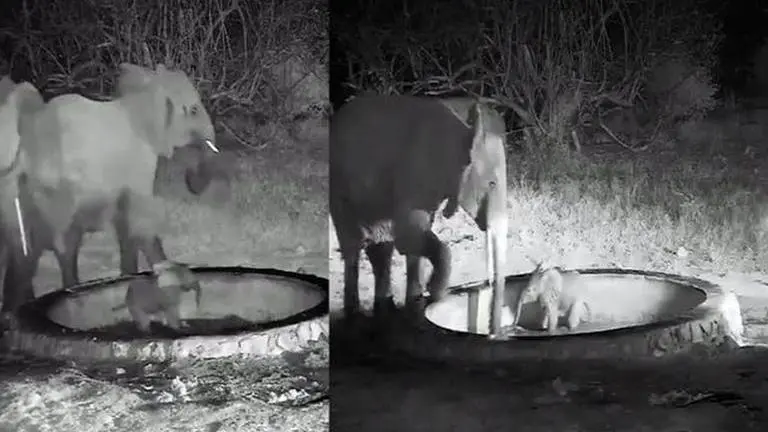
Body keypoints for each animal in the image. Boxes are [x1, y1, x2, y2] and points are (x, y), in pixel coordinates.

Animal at [1, 63, 221, 316]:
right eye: (193, 110)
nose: (192, 179)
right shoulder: (139, 162)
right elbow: (138, 220)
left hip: (16, 190)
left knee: (24, 250)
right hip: (57, 189)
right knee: (63, 245)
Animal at [330, 95, 512, 338]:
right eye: (492, 183)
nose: (493, 333)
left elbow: (413, 237)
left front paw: (417, 308)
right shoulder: (416, 172)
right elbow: (408, 236)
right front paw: (435, 293)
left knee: (381, 246)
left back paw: (386, 309)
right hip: (339, 187)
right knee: (353, 244)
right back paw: (355, 318)